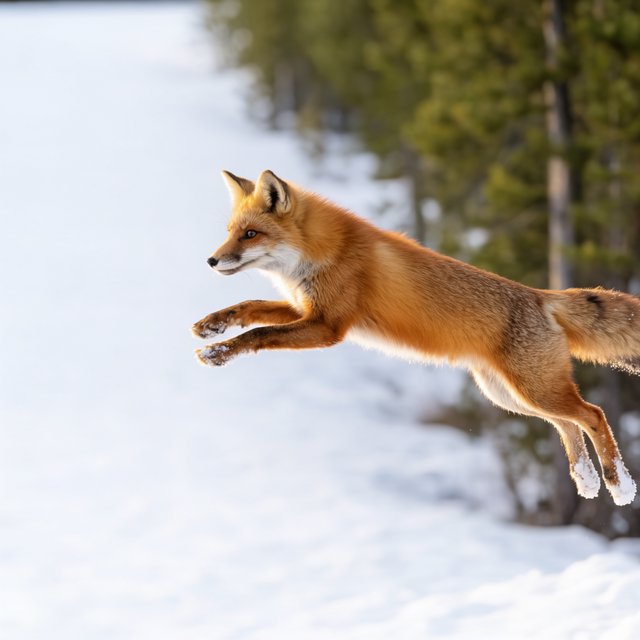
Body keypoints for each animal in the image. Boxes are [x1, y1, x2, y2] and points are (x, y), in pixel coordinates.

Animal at [192, 169, 640, 506]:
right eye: (231, 231)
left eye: (251, 234)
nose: (212, 260)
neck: (322, 253)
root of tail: (541, 296)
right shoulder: (308, 311)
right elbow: (250, 306)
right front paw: (212, 325)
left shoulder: (328, 327)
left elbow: (261, 332)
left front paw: (219, 351)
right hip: (512, 396)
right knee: (567, 424)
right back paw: (586, 480)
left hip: (533, 390)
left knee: (594, 414)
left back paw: (618, 485)